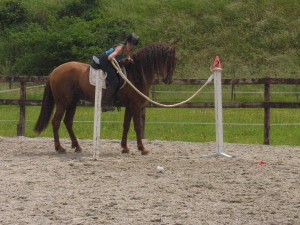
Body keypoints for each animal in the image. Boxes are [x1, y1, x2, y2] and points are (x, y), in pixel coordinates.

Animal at [33, 43, 176, 155]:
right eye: (171, 60)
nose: (168, 80)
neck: (136, 74)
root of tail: (55, 71)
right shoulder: (135, 106)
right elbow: (137, 127)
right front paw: (142, 148)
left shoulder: (130, 106)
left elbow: (126, 125)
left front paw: (125, 147)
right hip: (62, 103)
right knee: (56, 122)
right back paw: (59, 148)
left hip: (72, 103)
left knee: (68, 122)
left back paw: (77, 146)